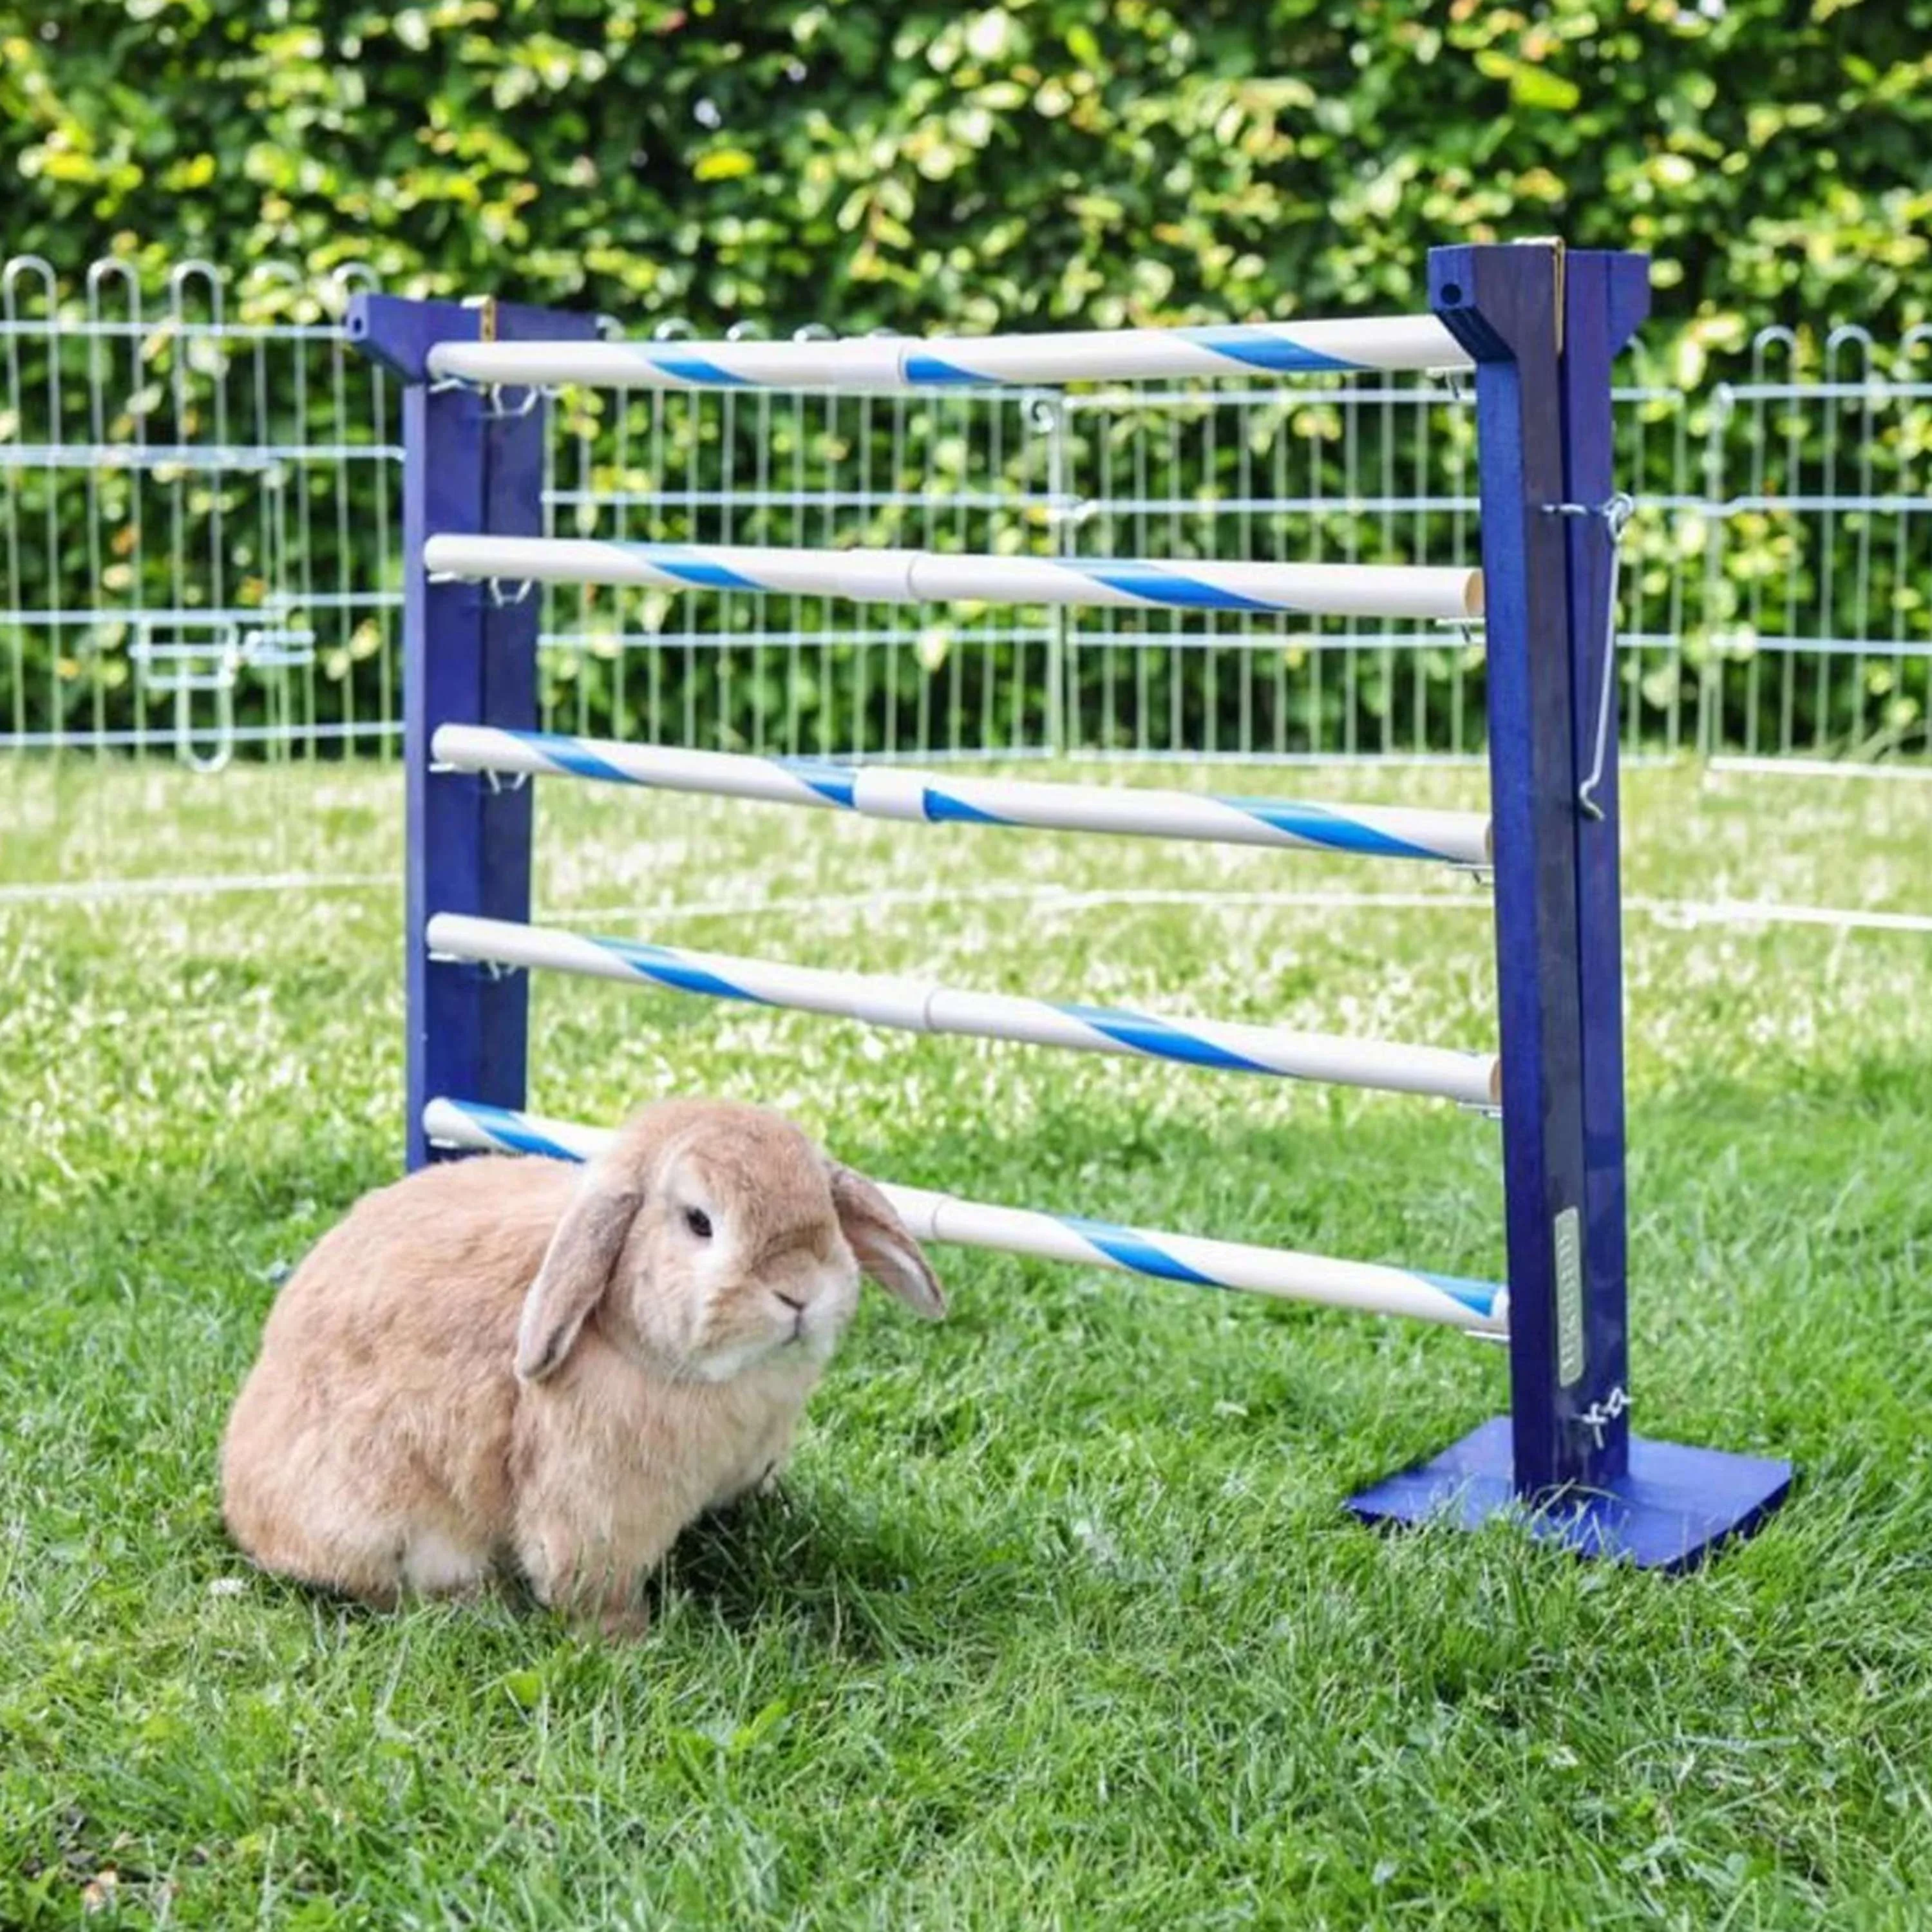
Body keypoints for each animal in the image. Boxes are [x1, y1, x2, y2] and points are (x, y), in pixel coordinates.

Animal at [220, 1098, 944, 1635]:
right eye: (699, 1222)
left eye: (824, 1209)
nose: (799, 1292)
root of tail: (243, 1502)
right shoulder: (595, 1507)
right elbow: (592, 1587)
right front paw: (631, 1642)